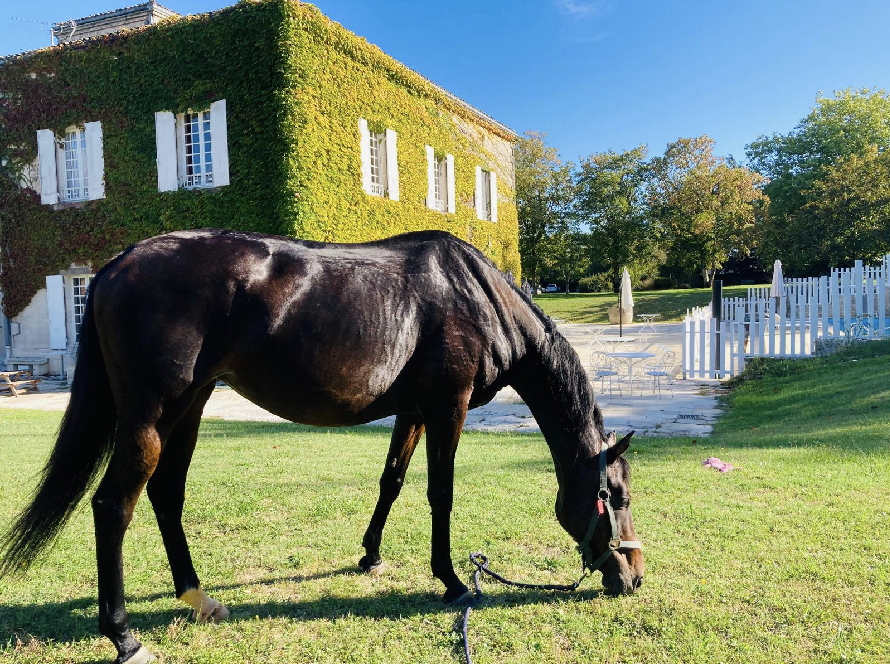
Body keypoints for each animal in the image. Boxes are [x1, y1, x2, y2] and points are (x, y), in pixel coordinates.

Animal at [0, 229, 643, 664]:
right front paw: (452, 581)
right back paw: (124, 635)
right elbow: (440, 492)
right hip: (152, 416)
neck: (475, 294)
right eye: (616, 496)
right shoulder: (447, 407)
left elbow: (393, 480)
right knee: (114, 505)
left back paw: (198, 598)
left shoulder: (413, 411)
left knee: (166, 495)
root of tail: (118, 263)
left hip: (191, 405)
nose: (634, 577)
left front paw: (370, 555)